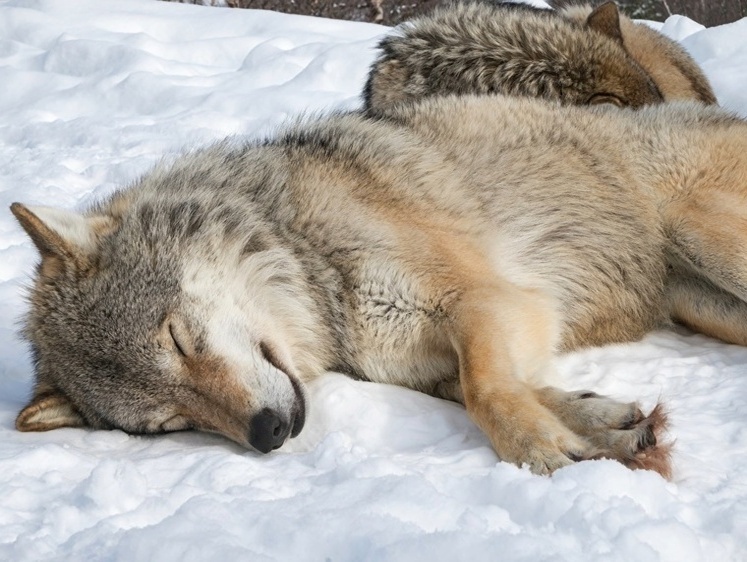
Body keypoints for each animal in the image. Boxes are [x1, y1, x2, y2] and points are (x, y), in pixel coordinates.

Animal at [14, 93, 747, 476]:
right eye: (171, 423)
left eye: (178, 339)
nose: (266, 433)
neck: (309, 260)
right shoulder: (431, 361)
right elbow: (502, 387)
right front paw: (610, 430)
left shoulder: (489, 299)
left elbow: (487, 390)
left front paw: (540, 452)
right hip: (701, 301)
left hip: (703, 235)